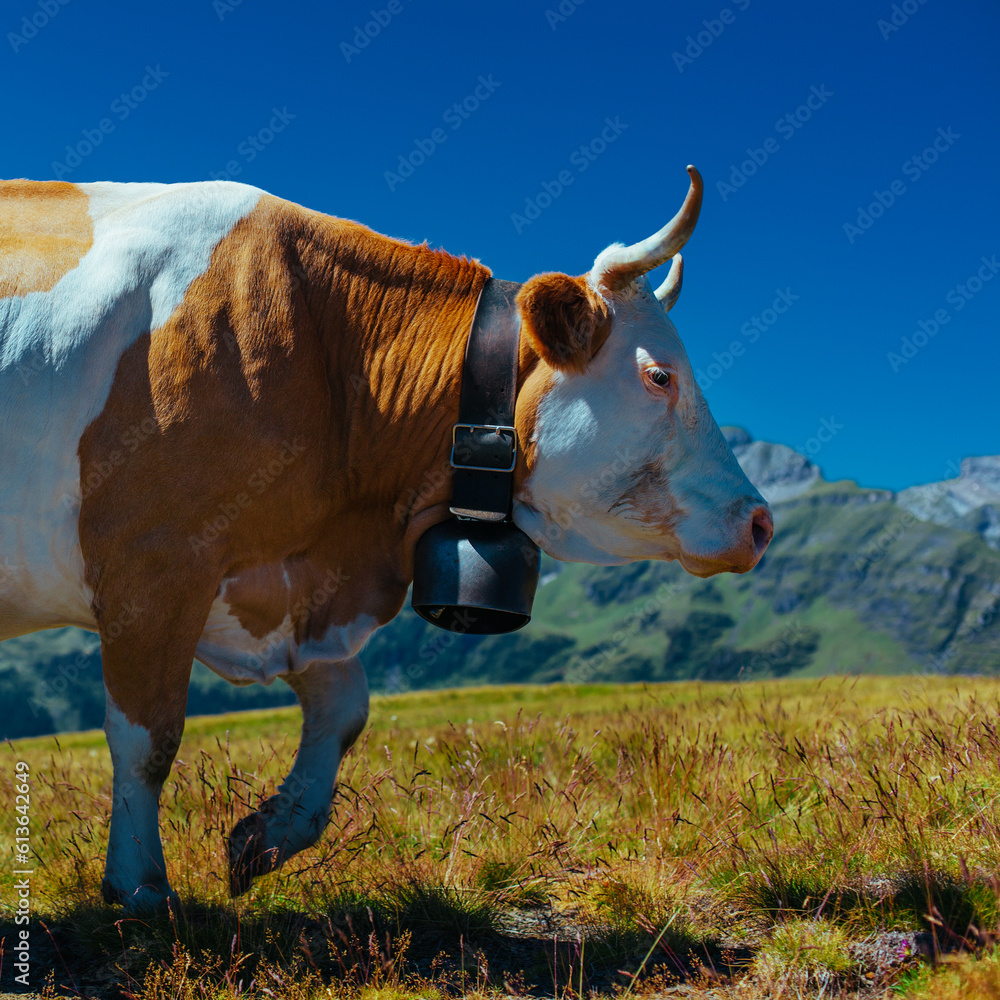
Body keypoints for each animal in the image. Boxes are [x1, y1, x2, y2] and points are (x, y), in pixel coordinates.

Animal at [0, 168, 772, 912]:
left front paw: (266, 836)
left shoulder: (274, 590)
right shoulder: (154, 563)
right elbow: (148, 739)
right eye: (659, 376)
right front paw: (139, 887)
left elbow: (345, 710)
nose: (759, 522)